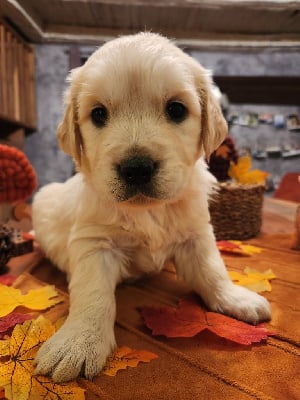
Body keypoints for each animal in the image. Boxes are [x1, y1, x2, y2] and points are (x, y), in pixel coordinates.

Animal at [32, 32, 270, 382]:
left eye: (176, 110)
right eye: (98, 114)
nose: (137, 168)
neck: (148, 210)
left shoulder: (196, 234)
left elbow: (212, 269)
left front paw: (234, 298)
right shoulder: (94, 243)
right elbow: (93, 294)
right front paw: (78, 341)